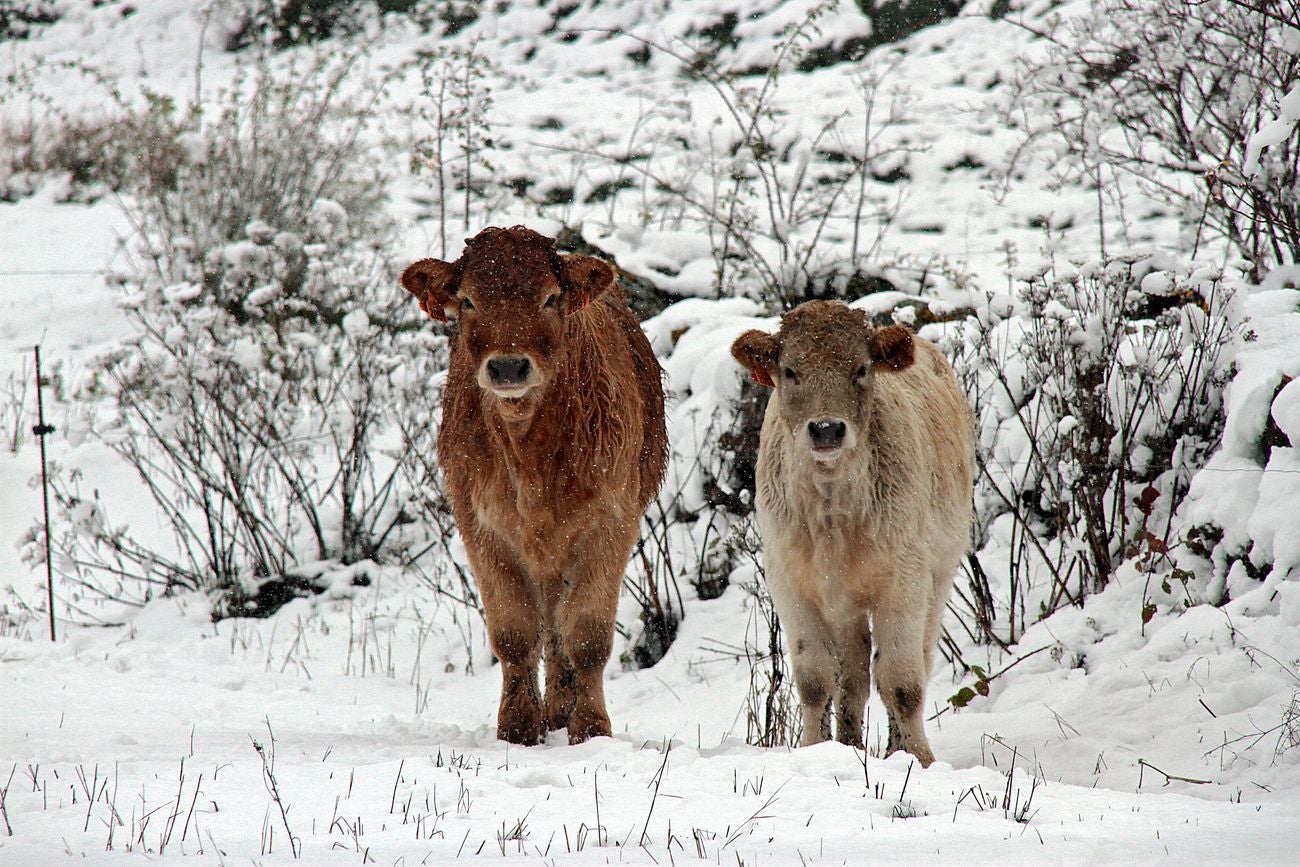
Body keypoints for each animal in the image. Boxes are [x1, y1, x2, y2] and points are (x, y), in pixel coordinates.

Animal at [403, 226, 670, 748]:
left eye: (549, 298)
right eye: (468, 301)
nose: (508, 367)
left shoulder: (612, 522)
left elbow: (586, 634)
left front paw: (591, 727)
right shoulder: (481, 526)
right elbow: (514, 632)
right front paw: (519, 727)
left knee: (561, 629)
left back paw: (564, 709)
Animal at [738, 300, 972, 764]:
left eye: (861, 368)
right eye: (789, 370)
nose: (827, 429)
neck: (833, 516)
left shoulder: (905, 581)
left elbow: (901, 681)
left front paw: (917, 758)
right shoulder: (790, 584)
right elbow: (816, 680)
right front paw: (814, 748)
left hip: (938, 577)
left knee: (911, 661)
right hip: (844, 605)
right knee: (854, 676)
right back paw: (849, 744)